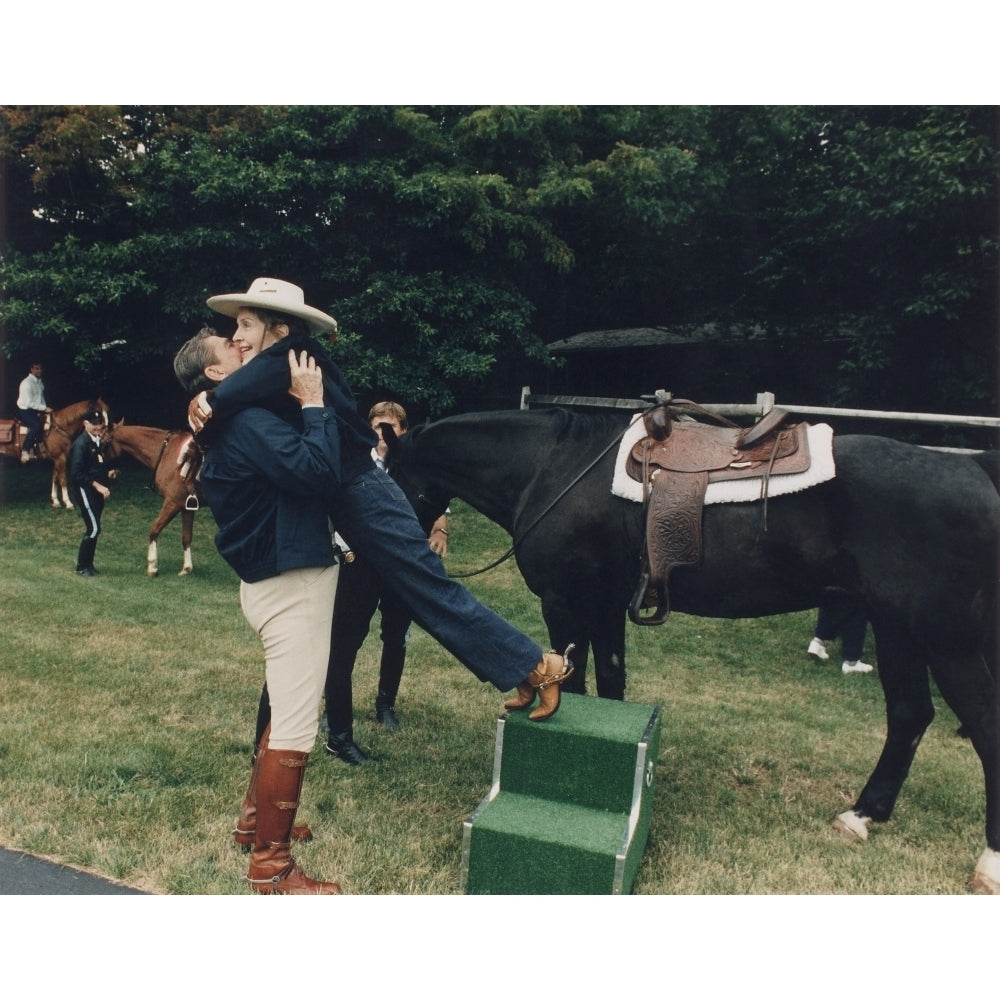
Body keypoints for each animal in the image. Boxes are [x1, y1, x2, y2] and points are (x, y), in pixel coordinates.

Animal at [103, 422, 201, 580]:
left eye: (103, 442)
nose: (108, 472)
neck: (167, 452)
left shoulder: (172, 503)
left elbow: (154, 530)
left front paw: (152, 566)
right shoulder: (186, 506)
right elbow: (186, 537)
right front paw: (186, 568)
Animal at [386, 406, 1000, 892]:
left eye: (389, 473)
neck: (549, 466)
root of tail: (973, 469)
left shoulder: (566, 603)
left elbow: (574, 683)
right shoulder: (606, 607)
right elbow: (609, 684)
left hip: (946, 641)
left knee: (979, 728)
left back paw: (986, 859)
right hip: (899, 632)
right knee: (910, 716)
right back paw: (865, 813)